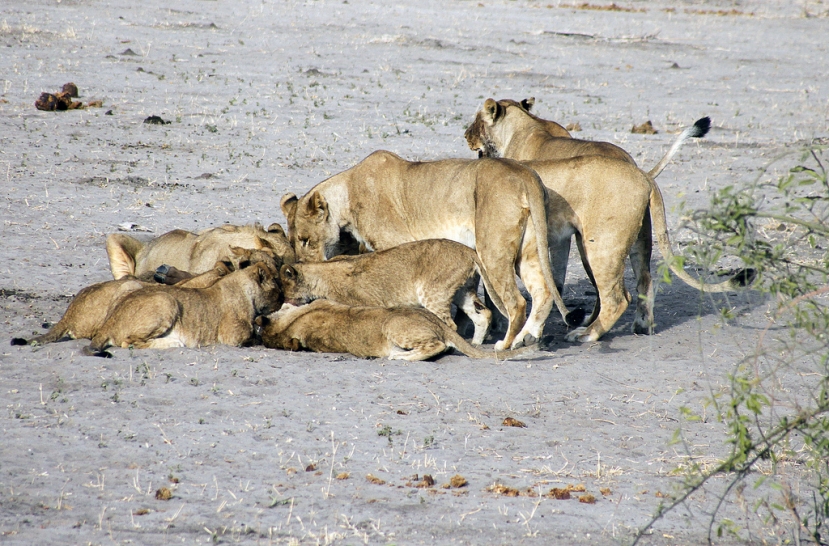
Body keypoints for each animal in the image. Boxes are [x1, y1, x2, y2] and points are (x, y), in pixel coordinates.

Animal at [82, 262, 282, 354]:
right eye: (277, 285)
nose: (283, 299)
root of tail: (109, 323)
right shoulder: (232, 336)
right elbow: (253, 336)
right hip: (166, 300)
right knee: (129, 342)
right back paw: (173, 342)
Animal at [280, 237, 504, 342]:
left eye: (286, 289)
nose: (286, 301)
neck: (320, 274)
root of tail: (469, 251)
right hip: (462, 291)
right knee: (483, 313)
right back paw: (476, 344)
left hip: (433, 293)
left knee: (451, 324)